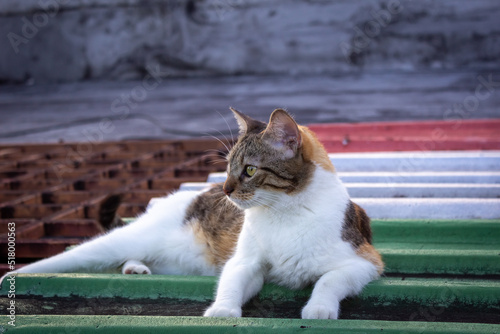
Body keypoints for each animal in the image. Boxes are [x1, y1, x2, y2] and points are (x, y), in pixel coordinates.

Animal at [0, 108, 382, 320]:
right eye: (227, 169)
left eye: (249, 170)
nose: (225, 190)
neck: (283, 211)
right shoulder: (245, 261)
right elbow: (232, 280)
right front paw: (223, 311)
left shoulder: (364, 261)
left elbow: (329, 279)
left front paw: (319, 309)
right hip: (121, 241)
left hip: (177, 261)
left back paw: (136, 268)